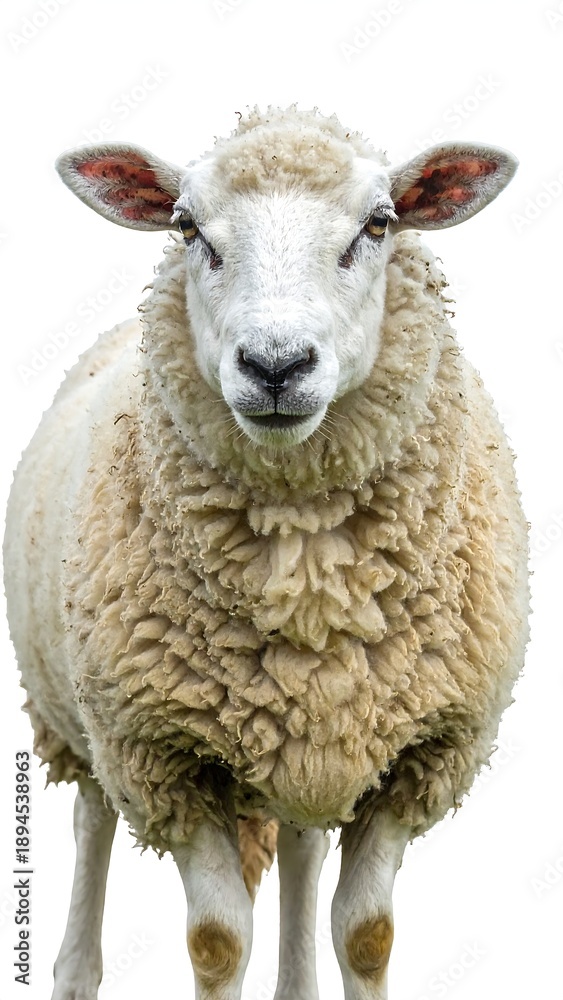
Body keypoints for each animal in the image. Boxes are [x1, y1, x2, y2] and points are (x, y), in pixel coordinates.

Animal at [3, 105, 529, 1000]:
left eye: (379, 223)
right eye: (187, 228)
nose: (275, 365)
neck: (309, 578)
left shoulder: (419, 755)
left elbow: (367, 936)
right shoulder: (162, 756)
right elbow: (217, 942)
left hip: (304, 740)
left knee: (300, 847)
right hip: (82, 717)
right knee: (90, 819)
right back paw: (73, 972)